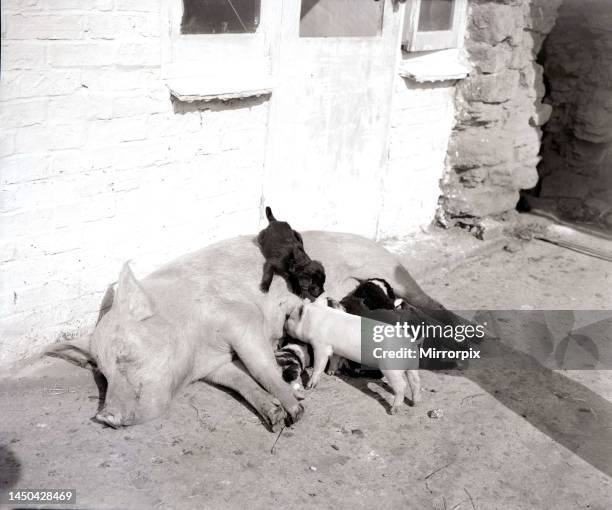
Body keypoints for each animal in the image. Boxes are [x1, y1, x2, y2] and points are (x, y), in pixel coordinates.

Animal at [286, 296, 420, 412]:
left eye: (290, 317)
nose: (285, 326)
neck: (315, 319)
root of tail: (410, 343)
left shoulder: (321, 346)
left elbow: (319, 365)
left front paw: (309, 386)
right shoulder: (336, 349)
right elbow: (334, 359)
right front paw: (331, 373)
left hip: (390, 366)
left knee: (402, 385)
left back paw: (393, 410)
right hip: (413, 364)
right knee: (415, 381)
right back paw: (414, 403)